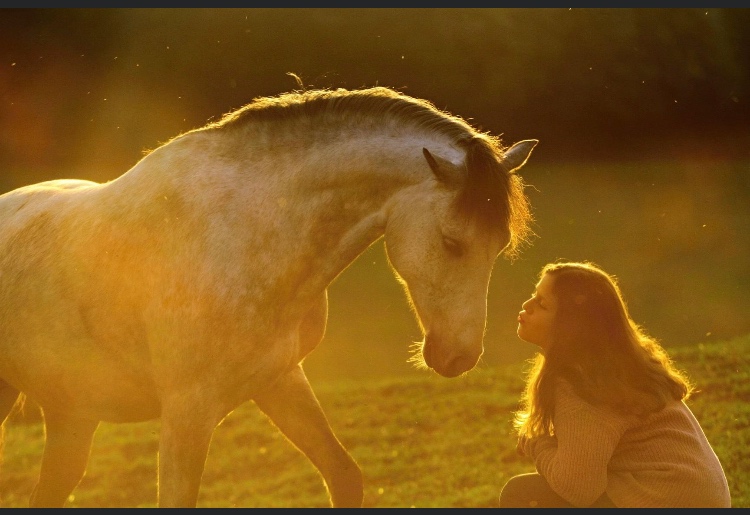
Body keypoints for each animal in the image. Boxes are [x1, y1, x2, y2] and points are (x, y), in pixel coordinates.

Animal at [0, 86, 537, 507]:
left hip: (71, 419)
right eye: (452, 242)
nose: (459, 356)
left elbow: (345, 477)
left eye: (499, 245)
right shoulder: (188, 411)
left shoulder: (279, 380)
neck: (248, 232)